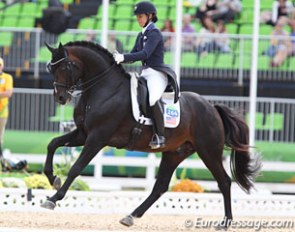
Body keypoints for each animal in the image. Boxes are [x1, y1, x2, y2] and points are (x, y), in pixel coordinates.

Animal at [42, 40, 262, 227]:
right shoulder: (83, 134)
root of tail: (212, 107)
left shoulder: (97, 138)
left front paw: (53, 199)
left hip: (209, 151)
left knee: (224, 181)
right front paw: (53, 179)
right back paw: (131, 216)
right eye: (51, 68)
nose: (60, 97)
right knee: (161, 186)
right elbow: (52, 143)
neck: (104, 90)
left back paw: (225, 223)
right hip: (174, 153)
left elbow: (76, 167)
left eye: (65, 67)